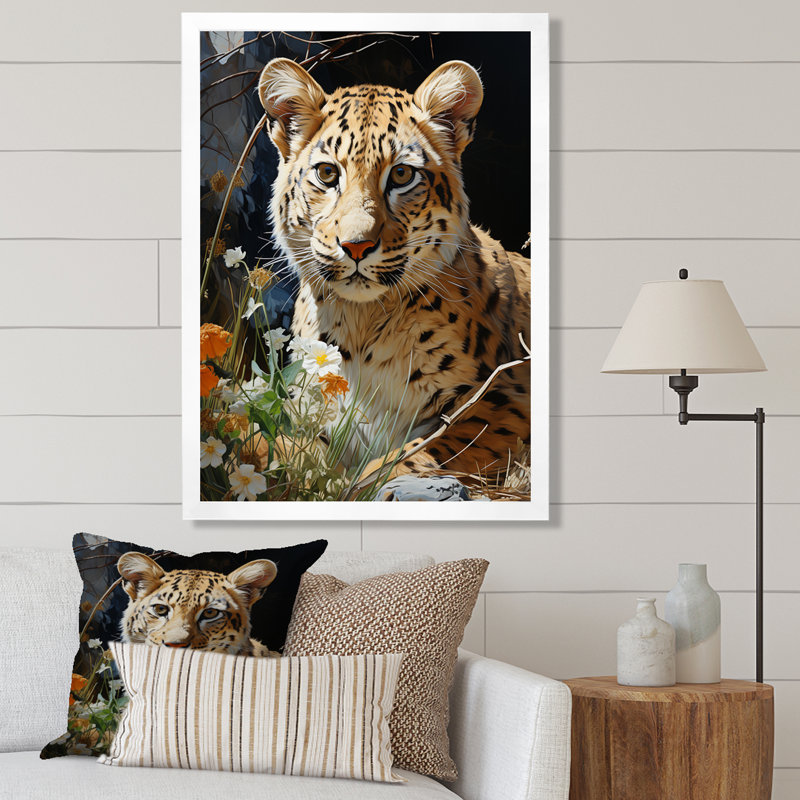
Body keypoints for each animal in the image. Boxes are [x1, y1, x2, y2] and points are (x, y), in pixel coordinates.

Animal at [257, 57, 531, 483]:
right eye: (327, 174)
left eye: (402, 175)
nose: (356, 245)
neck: (359, 324)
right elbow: (276, 443)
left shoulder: (504, 399)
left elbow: (413, 454)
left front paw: (360, 484)